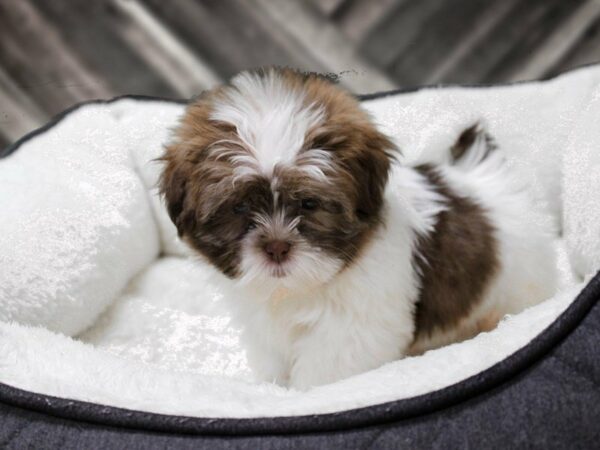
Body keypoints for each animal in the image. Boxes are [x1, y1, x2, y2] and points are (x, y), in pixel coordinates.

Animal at [159, 67, 556, 390]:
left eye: (309, 204)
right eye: (239, 207)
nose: (276, 247)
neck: (297, 290)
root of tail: (483, 174)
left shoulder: (353, 329)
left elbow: (325, 372)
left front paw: (301, 397)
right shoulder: (264, 323)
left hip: (521, 285)